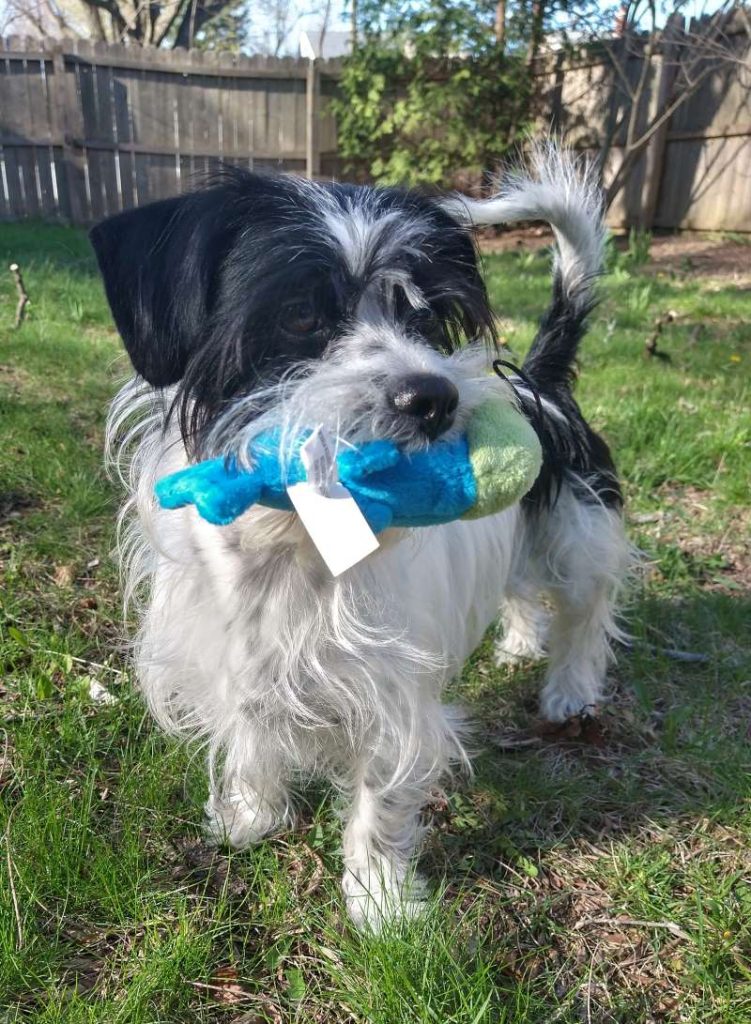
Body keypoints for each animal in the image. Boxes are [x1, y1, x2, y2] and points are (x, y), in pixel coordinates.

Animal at [93, 146, 631, 937]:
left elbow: (379, 799)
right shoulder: (232, 658)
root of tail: (540, 383)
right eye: (299, 315)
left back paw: (567, 689)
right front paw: (252, 817)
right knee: (518, 595)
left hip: (576, 535)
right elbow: (251, 737)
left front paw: (379, 903)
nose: (433, 397)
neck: (291, 545)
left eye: (425, 318)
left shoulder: (393, 698)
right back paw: (516, 644)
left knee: (587, 610)